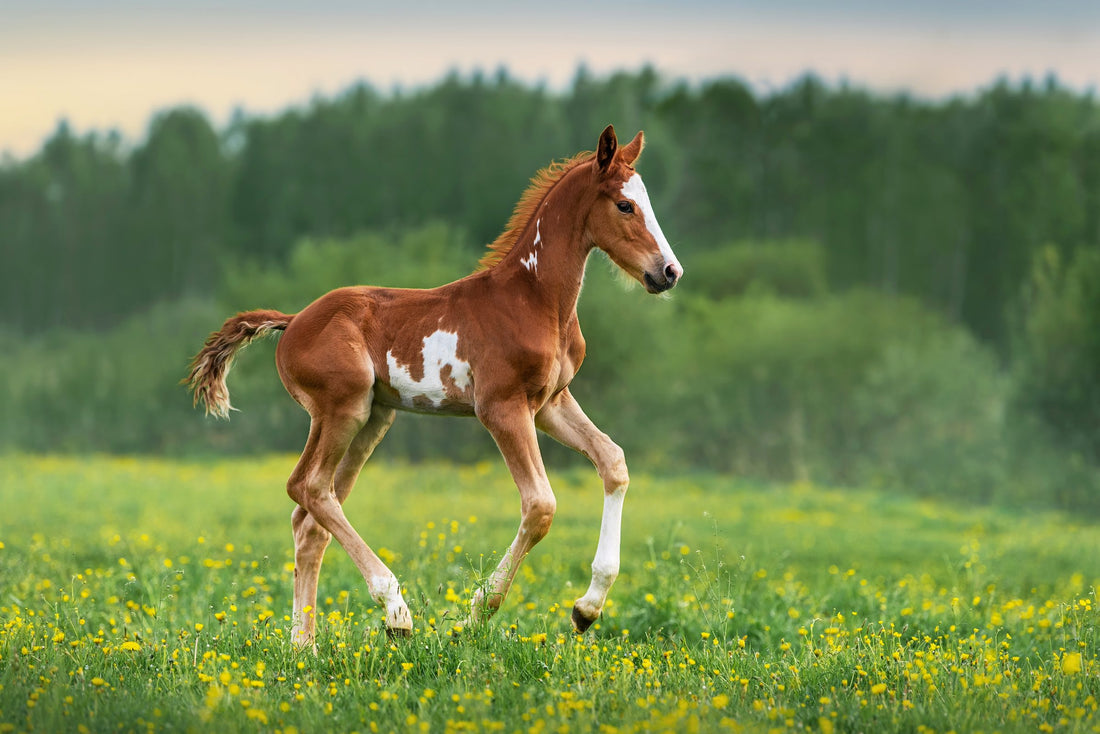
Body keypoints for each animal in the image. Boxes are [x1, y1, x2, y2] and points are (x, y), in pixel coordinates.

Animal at [188, 126, 682, 647]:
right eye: (625, 205)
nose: (669, 272)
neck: (534, 300)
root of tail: (293, 320)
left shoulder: (550, 403)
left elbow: (614, 462)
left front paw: (587, 609)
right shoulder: (501, 407)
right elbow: (541, 505)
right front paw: (475, 614)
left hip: (373, 418)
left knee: (309, 518)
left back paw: (305, 645)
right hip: (342, 409)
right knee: (309, 487)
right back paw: (395, 612)